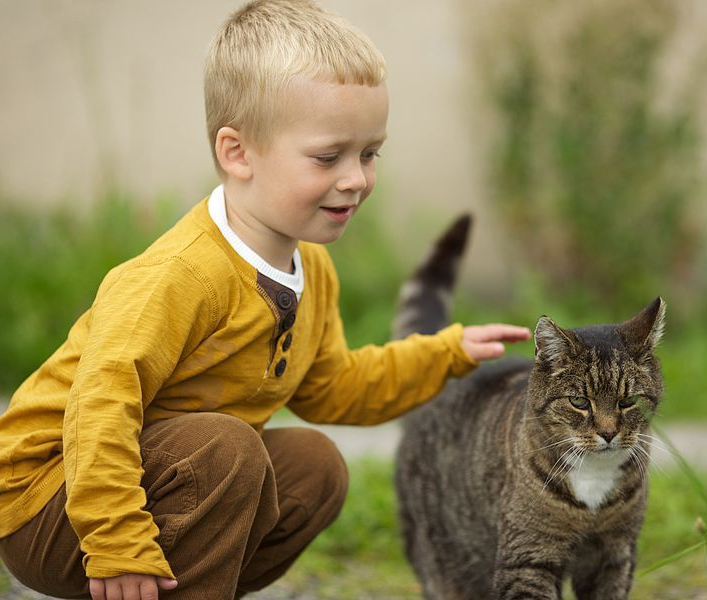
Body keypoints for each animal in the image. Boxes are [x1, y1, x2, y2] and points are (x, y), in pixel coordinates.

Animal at [396, 216, 668, 600]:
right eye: (579, 402)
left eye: (627, 401)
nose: (608, 433)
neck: (594, 481)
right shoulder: (529, 558)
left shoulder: (614, 555)